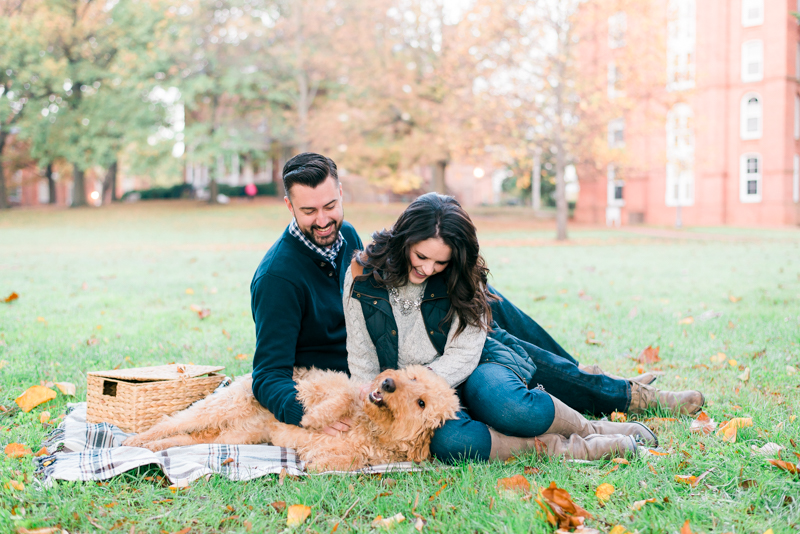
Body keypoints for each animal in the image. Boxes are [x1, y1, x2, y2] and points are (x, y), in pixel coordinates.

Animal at [122, 366, 460, 472]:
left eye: (421, 403)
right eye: (412, 376)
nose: (387, 383)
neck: (370, 425)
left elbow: (347, 459)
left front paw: (317, 461)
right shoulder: (320, 386)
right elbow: (338, 397)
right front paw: (314, 419)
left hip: (232, 436)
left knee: (183, 440)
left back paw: (152, 450)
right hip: (218, 408)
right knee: (167, 422)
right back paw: (133, 441)